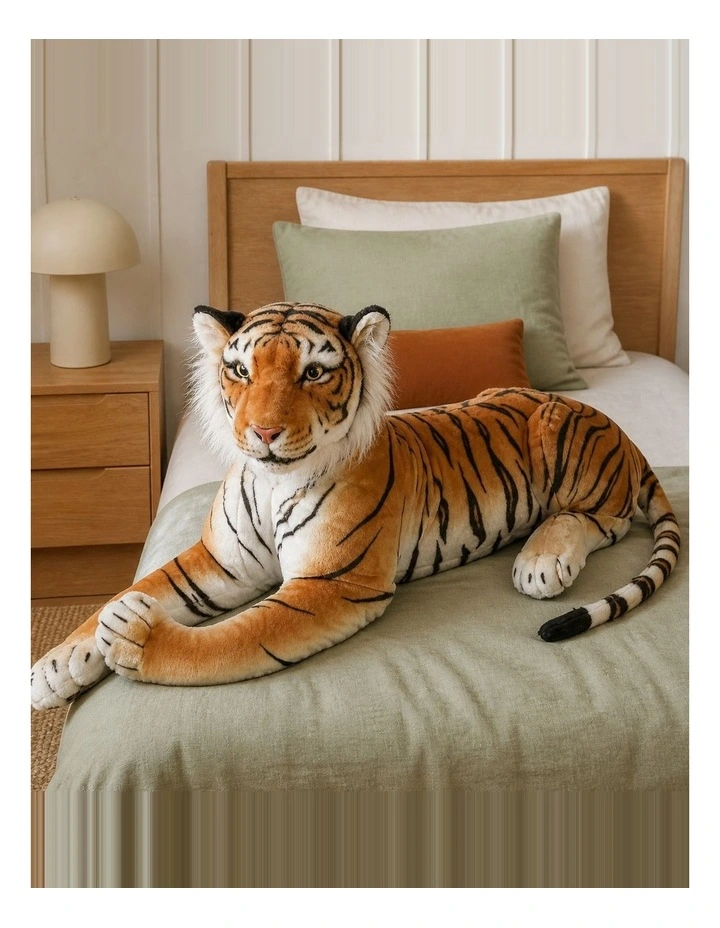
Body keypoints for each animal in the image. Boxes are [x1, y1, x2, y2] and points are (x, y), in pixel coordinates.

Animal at [31, 301, 680, 710]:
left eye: (314, 373)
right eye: (239, 369)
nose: (262, 433)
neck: (273, 483)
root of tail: (623, 434)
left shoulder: (329, 583)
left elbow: (230, 640)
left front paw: (134, 637)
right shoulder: (222, 562)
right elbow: (134, 590)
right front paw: (54, 668)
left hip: (559, 433)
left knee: (600, 519)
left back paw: (542, 564)